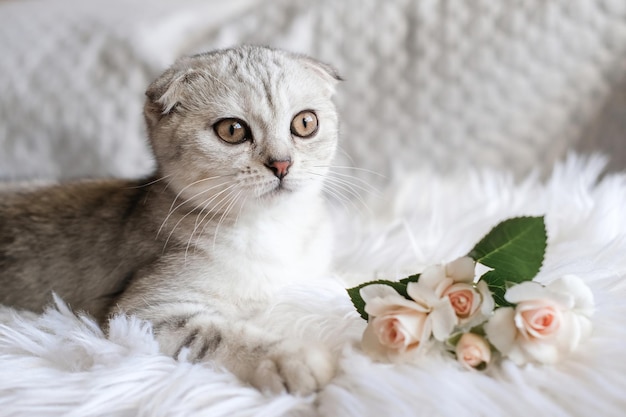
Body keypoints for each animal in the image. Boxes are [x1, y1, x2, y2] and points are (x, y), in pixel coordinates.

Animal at [1, 46, 342, 394]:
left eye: (305, 123)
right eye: (232, 130)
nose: (282, 163)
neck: (275, 228)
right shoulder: (138, 314)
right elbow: (216, 335)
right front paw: (291, 358)